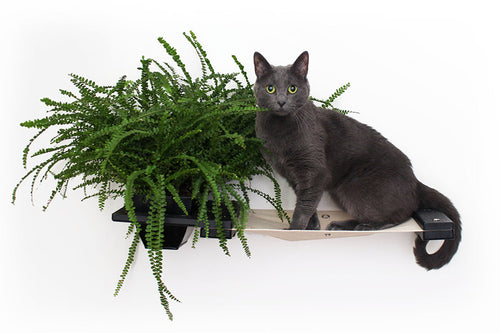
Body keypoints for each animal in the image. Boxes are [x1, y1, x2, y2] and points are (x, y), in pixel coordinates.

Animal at [254, 52, 460, 270]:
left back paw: (360, 226)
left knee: (402, 214)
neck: (280, 130)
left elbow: (304, 206)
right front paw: (313, 226)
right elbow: (309, 203)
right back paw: (340, 225)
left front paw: (295, 229)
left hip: (354, 188)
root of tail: (416, 182)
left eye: (292, 88)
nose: (281, 101)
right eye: (270, 88)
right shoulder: (295, 178)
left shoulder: (315, 171)